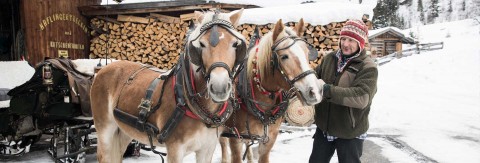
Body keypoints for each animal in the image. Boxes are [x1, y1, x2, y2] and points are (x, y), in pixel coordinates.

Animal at [90, 9, 248, 163]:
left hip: (125, 130)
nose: (219, 86)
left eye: (235, 44)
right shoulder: (175, 148)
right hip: (105, 127)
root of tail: (103, 69)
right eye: (201, 44)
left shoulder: (207, 148)